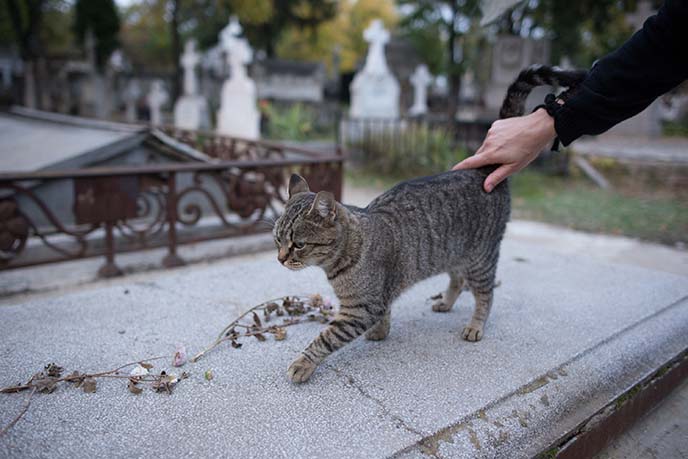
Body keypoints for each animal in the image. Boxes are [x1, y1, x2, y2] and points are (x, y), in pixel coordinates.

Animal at [274, 64, 584, 382]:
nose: (280, 258)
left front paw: (304, 362)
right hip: (455, 253)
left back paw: (476, 325)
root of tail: (484, 170)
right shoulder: (378, 298)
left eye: (298, 244)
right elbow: (384, 313)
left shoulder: (360, 308)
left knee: (485, 294)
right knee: (457, 279)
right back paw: (446, 303)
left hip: (481, 259)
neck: (344, 255)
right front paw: (381, 331)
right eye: (277, 240)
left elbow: (325, 338)